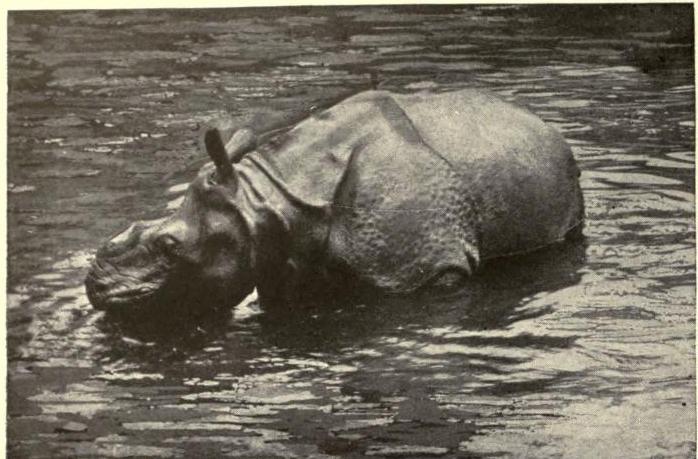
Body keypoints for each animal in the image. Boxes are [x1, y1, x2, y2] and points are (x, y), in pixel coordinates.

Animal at [85, 89, 584, 316]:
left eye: (170, 246)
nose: (95, 286)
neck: (266, 195)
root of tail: (543, 124)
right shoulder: (276, 258)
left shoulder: (432, 269)